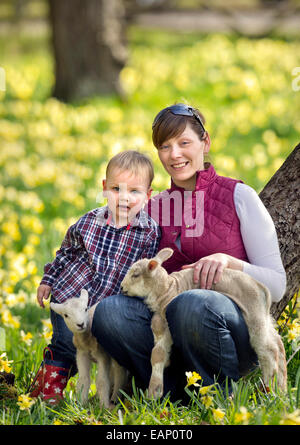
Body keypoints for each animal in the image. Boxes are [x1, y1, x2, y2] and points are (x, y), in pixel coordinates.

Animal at [120, 248, 288, 398]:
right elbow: (156, 334)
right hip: (263, 316)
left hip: (254, 313)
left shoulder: (167, 320)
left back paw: (268, 388)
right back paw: (281, 390)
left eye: (135, 275)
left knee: (268, 349)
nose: (121, 288)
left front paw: (154, 392)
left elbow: (157, 353)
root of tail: (263, 289)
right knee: (278, 344)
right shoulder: (159, 319)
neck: (167, 289)